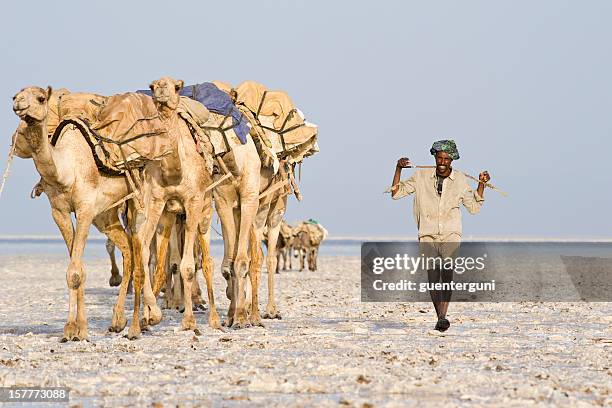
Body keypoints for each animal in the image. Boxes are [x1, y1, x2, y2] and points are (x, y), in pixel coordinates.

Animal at [10, 87, 133, 342]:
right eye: (15, 95)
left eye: (40, 98)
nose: (18, 103)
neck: (67, 171)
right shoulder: (59, 211)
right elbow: (76, 268)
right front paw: (70, 329)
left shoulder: (86, 208)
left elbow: (75, 271)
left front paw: (82, 330)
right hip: (107, 216)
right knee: (129, 249)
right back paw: (118, 321)